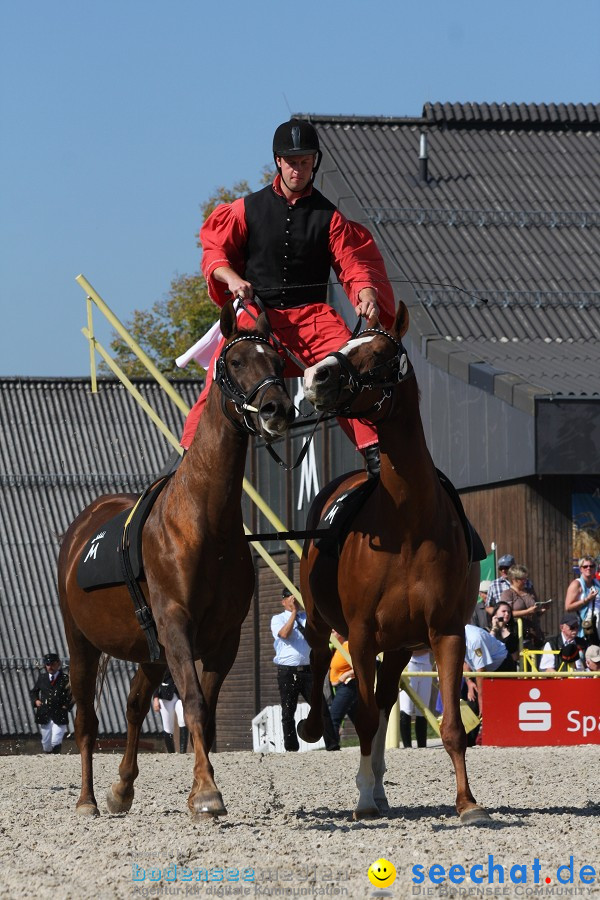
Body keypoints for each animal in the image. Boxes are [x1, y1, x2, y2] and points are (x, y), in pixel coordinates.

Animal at [58, 298, 296, 820]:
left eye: (278, 361)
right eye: (234, 362)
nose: (277, 409)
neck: (202, 522)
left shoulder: (222, 639)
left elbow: (205, 708)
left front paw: (200, 787)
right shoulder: (177, 626)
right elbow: (192, 701)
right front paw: (206, 792)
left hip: (149, 649)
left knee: (131, 705)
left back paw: (121, 789)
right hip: (82, 644)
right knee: (85, 719)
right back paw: (87, 799)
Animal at [298, 306, 490, 828]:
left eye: (381, 353)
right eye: (345, 343)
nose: (316, 375)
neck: (408, 524)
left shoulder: (446, 631)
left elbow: (450, 727)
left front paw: (468, 803)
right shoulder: (361, 634)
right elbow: (362, 716)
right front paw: (363, 799)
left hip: (402, 645)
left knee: (385, 698)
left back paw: (381, 786)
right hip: (322, 618)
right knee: (321, 659)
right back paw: (316, 730)